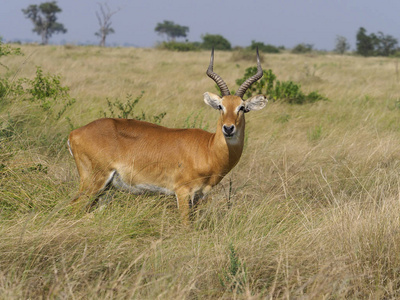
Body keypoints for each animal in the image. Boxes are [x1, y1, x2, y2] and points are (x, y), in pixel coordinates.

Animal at [68, 48, 268, 223]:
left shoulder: (198, 197)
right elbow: (186, 226)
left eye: (242, 107)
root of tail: (74, 133)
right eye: (221, 106)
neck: (208, 148)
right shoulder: (183, 192)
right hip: (94, 181)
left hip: (104, 189)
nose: (228, 128)